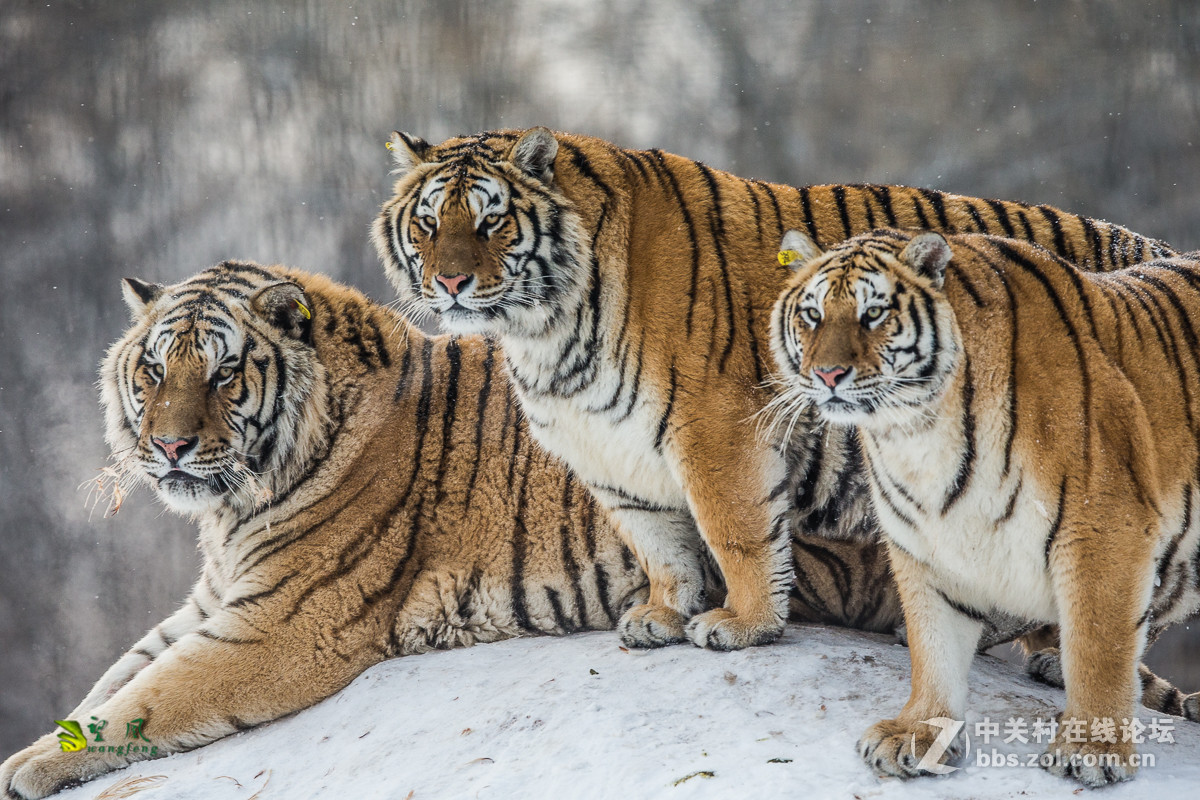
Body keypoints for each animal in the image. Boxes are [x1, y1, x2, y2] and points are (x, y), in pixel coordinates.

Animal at [369, 123, 1176, 652]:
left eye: (492, 221)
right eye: (430, 221)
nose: (450, 282)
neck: (544, 334)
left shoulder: (716, 427)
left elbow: (736, 532)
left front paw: (745, 624)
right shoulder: (609, 452)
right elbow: (660, 544)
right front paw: (661, 617)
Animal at [763, 226, 1200, 786]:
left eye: (874, 313)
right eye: (813, 315)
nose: (828, 374)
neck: (916, 434)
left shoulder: (1104, 529)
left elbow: (1099, 644)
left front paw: (1091, 749)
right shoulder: (928, 542)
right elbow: (933, 647)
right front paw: (920, 733)